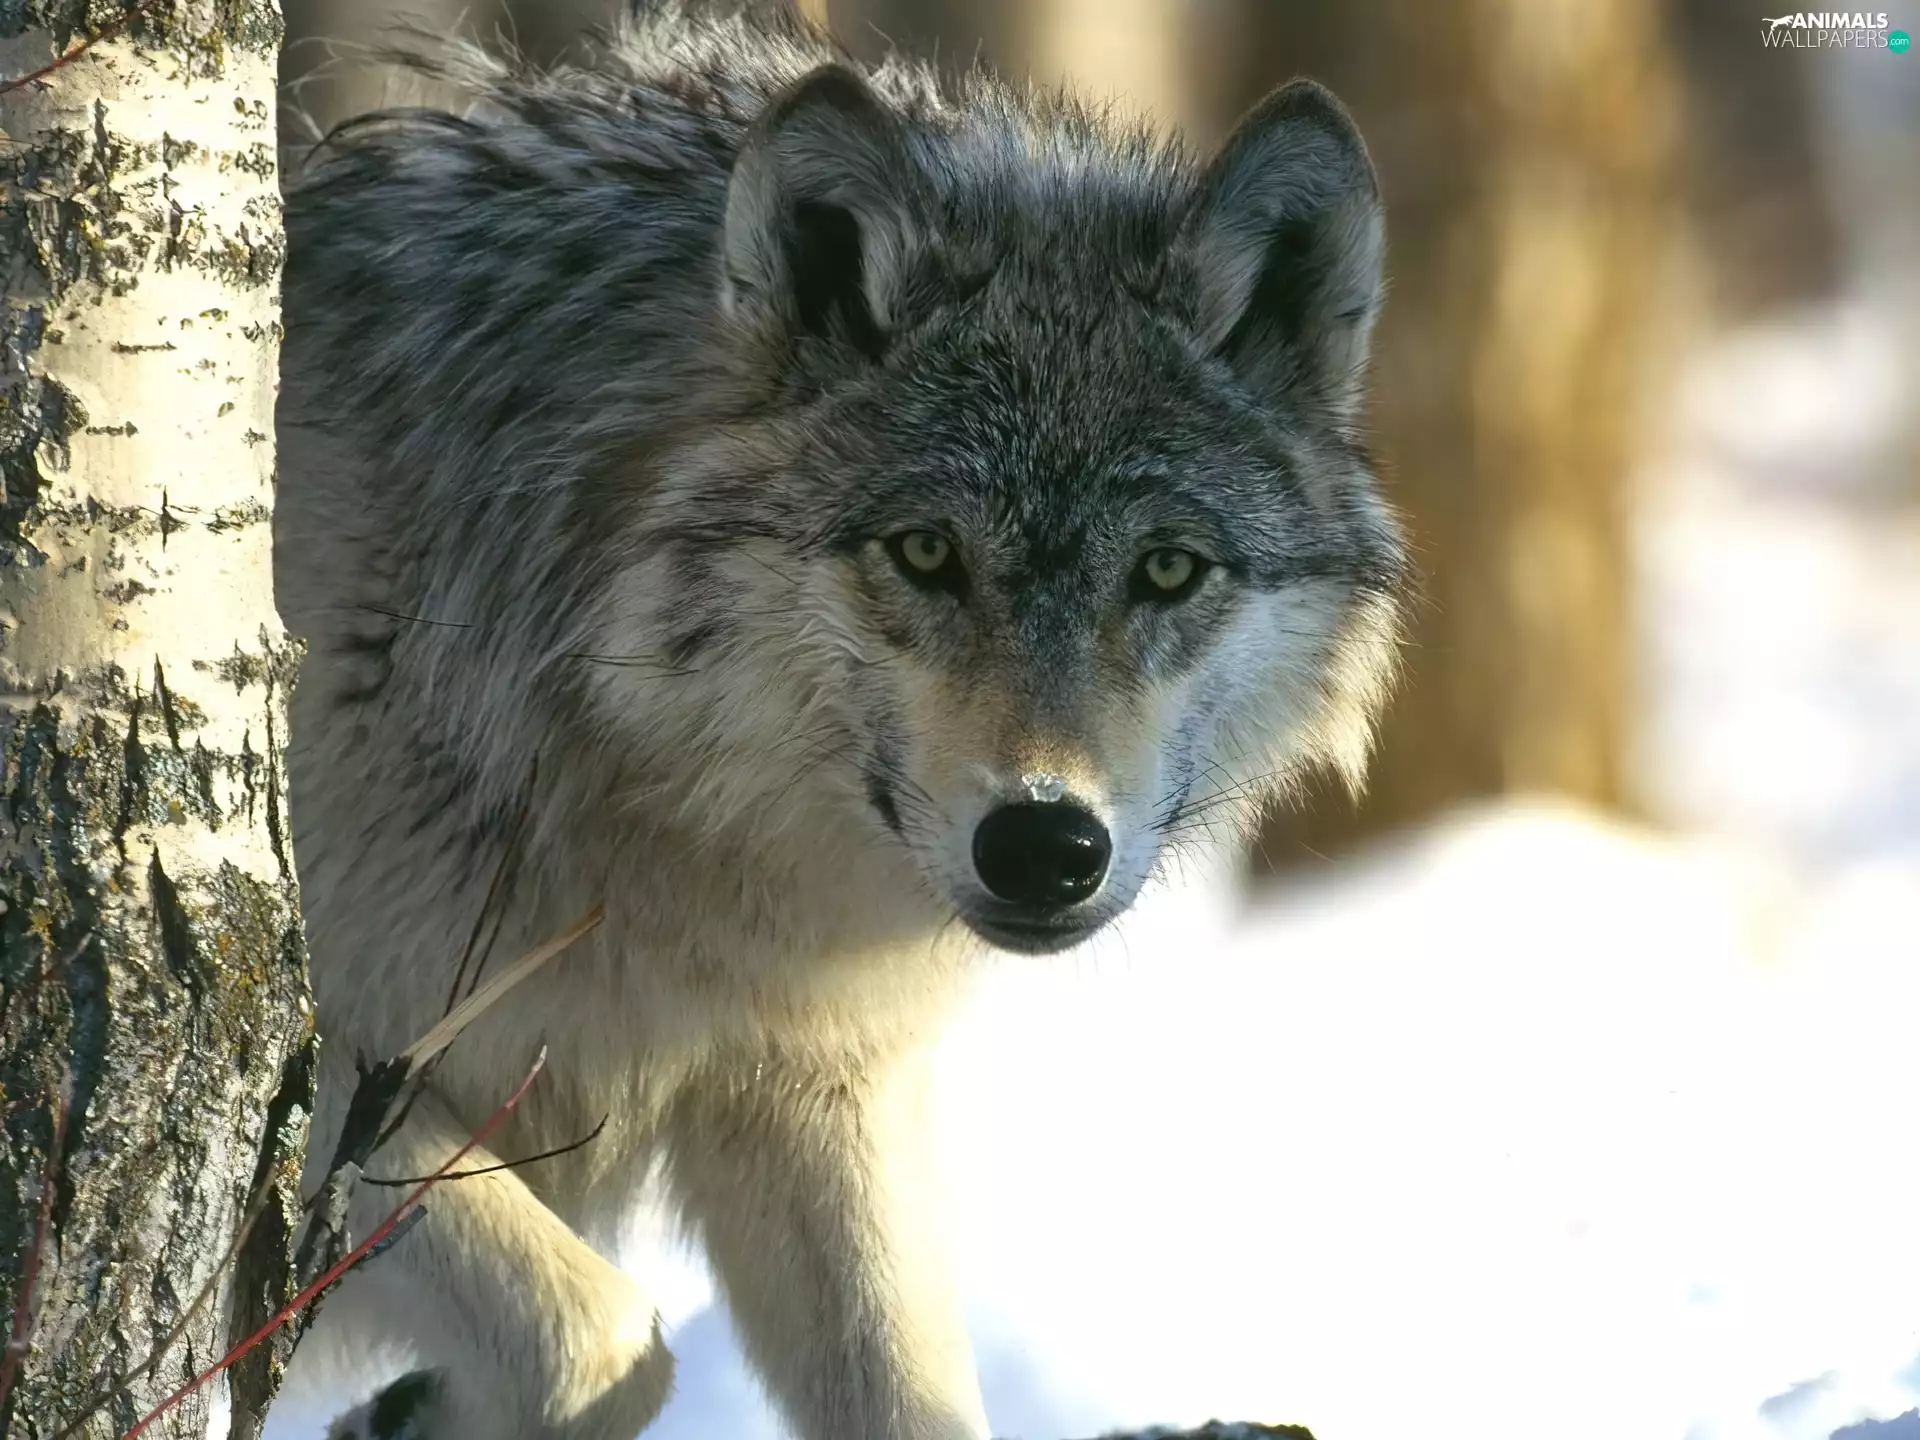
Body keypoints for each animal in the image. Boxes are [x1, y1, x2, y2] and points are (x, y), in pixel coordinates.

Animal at [273, 3, 1405, 1437]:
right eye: (925, 552)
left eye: (1164, 570)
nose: (1045, 846)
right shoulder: (327, 1068)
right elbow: (603, 1341)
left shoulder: (816, 1094)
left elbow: (906, 1399)